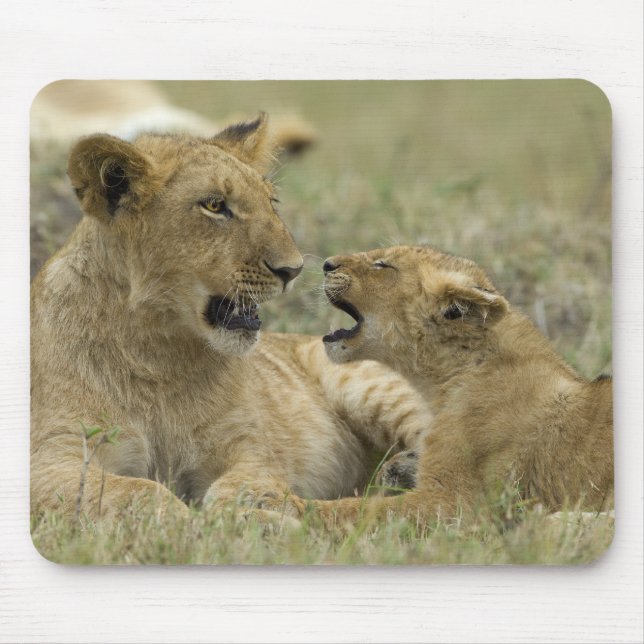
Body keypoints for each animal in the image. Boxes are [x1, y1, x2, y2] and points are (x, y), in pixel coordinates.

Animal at [30, 116, 431, 531]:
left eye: (271, 202)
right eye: (214, 206)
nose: (293, 270)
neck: (157, 353)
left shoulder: (247, 447)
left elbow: (241, 485)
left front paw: (256, 518)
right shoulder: (53, 456)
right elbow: (137, 490)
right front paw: (188, 523)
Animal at [299, 244, 613, 529]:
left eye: (382, 264)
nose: (327, 264)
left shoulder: (455, 503)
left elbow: (358, 510)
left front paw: (290, 509)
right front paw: (402, 467)